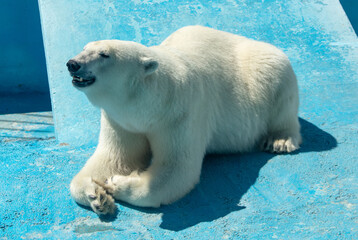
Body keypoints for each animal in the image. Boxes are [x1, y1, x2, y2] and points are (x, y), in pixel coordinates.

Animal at [66, 25, 300, 215]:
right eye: (84, 48)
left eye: (104, 54)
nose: (72, 63)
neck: (148, 104)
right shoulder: (120, 120)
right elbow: (115, 157)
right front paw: (98, 195)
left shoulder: (179, 113)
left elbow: (176, 169)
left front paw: (117, 183)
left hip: (264, 71)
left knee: (279, 85)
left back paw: (280, 140)